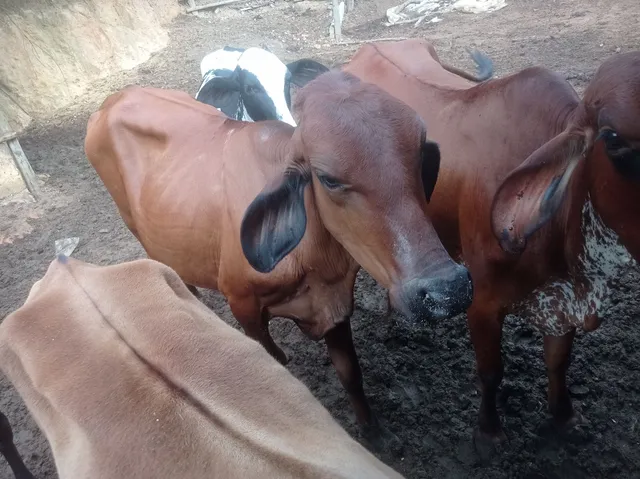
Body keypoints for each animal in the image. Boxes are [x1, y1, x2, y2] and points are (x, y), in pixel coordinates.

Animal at [84, 72, 474, 443]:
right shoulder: (242, 302)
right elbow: (272, 359)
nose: (446, 290)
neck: (317, 260)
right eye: (328, 178)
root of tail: (111, 102)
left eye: (420, 154)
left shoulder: (335, 305)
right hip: (134, 225)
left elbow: (351, 372)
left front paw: (374, 432)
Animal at [343, 39, 640, 455]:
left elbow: (559, 360)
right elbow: (490, 372)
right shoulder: (481, 300)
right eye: (613, 140)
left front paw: (564, 417)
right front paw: (489, 433)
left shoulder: (562, 299)